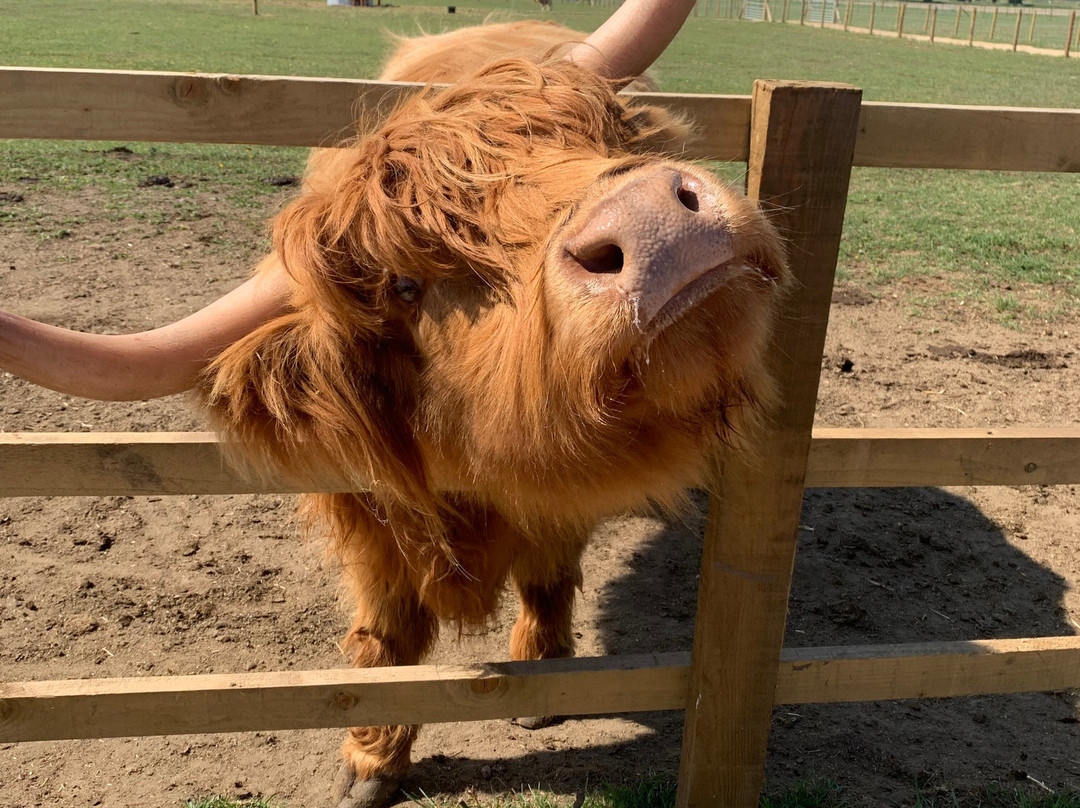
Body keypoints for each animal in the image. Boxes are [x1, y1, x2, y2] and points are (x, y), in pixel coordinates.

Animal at [0, 15, 788, 808]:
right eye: (406, 285)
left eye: (604, 136)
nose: (658, 224)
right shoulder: (370, 515)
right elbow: (388, 635)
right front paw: (369, 762)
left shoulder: (568, 495)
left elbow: (546, 575)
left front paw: (540, 679)